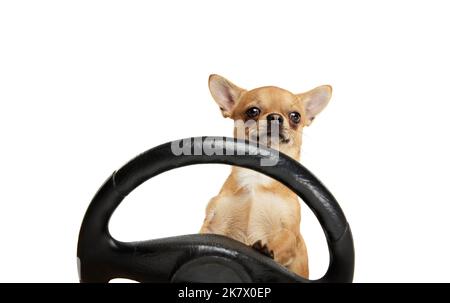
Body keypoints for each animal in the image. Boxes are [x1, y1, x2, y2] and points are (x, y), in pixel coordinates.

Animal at [199, 73, 332, 278]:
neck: (257, 178)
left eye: (295, 116)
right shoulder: (215, 223)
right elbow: (207, 234)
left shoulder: (290, 232)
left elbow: (284, 239)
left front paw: (266, 248)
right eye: (252, 111)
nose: (276, 117)